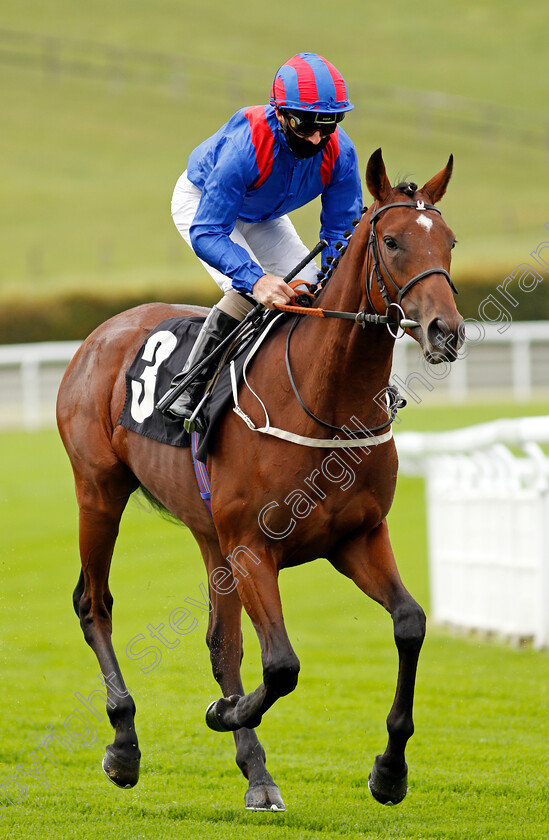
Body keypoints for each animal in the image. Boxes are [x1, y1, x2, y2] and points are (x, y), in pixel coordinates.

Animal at [56, 148, 462, 812]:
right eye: (394, 241)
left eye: (450, 242)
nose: (445, 333)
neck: (327, 399)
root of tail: (103, 331)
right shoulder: (252, 547)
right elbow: (282, 666)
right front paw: (222, 713)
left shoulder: (357, 537)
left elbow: (409, 624)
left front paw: (389, 770)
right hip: (99, 491)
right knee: (95, 603)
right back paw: (123, 744)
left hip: (208, 534)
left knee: (222, 643)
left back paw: (257, 774)